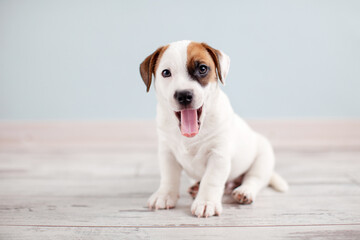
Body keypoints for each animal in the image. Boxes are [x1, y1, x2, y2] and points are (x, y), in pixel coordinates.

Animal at [139, 39, 288, 218]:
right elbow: (169, 177)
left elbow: (211, 180)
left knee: (254, 178)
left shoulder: (218, 155)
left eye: (202, 68)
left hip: (263, 157)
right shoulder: (167, 153)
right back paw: (196, 187)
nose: (184, 95)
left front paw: (205, 202)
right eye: (166, 73)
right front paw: (165, 195)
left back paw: (244, 191)